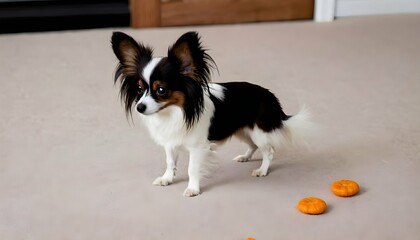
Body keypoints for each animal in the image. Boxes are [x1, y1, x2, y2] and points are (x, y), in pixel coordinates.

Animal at [110, 31, 312, 196]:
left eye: (161, 90)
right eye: (139, 89)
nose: (140, 107)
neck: (174, 112)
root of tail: (270, 97)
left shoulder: (197, 148)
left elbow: (192, 169)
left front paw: (193, 188)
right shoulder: (170, 142)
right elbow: (170, 162)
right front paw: (167, 178)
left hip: (259, 132)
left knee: (268, 151)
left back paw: (262, 170)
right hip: (242, 131)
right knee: (253, 146)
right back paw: (245, 157)